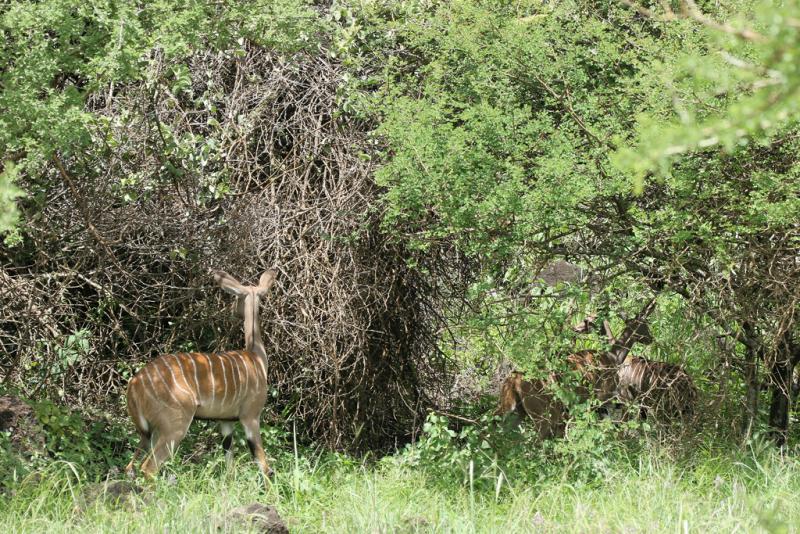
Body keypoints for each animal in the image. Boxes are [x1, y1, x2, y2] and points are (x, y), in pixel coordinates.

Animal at [123, 270, 276, 480]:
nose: (232, 311)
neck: (256, 358)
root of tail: (134, 384)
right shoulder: (251, 416)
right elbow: (263, 464)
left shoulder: (225, 421)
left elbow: (229, 463)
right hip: (175, 427)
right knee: (149, 467)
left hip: (148, 432)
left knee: (131, 466)